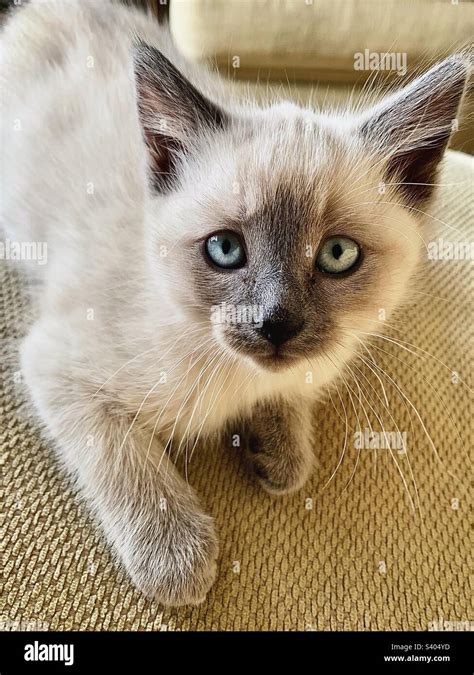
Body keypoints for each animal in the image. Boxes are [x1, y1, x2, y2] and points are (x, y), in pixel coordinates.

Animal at [0, 1, 470, 608]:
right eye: (225, 249)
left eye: (337, 255)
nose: (276, 323)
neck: (237, 378)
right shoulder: (57, 362)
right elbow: (126, 459)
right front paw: (175, 557)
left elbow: (292, 412)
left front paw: (278, 453)